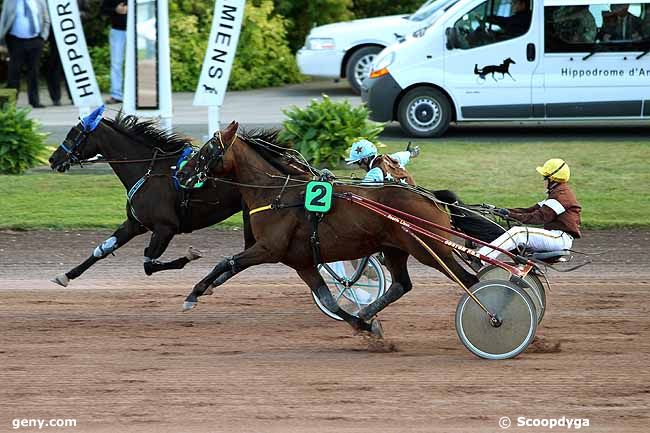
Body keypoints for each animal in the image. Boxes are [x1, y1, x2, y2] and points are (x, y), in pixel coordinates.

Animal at [47, 108, 251, 286]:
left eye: (75, 134)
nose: (53, 159)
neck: (149, 171)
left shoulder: (166, 228)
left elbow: (149, 265)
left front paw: (190, 255)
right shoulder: (134, 224)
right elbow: (102, 249)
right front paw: (66, 275)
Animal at [176, 121, 476, 334]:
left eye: (207, 150)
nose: (181, 173)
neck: (276, 193)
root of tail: (431, 197)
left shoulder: (268, 249)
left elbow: (225, 261)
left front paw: (193, 294)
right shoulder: (301, 261)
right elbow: (328, 298)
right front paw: (364, 325)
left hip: (432, 249)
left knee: (469, 280)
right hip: (396, 249)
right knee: (402, 284)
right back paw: (366, 312)